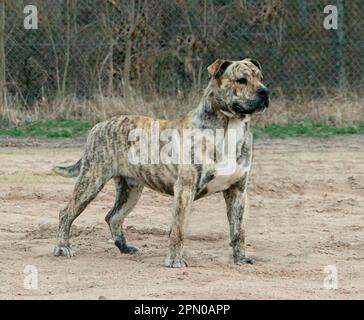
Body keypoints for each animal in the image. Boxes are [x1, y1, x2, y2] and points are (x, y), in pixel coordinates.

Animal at [53, 58, 270, 268]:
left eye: (261, 78)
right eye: (241, 80)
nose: (265, 92)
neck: (229, 127)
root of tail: (98, 126)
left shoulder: (238, 191)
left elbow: (238, 231)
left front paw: (241, 259)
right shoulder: (185, 189)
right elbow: (178, 230)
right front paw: (175, 261)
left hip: (131, 190)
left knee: (112, 217)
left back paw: (124, 248)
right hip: (91, 181)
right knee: (66, 213)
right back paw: (62, 247)